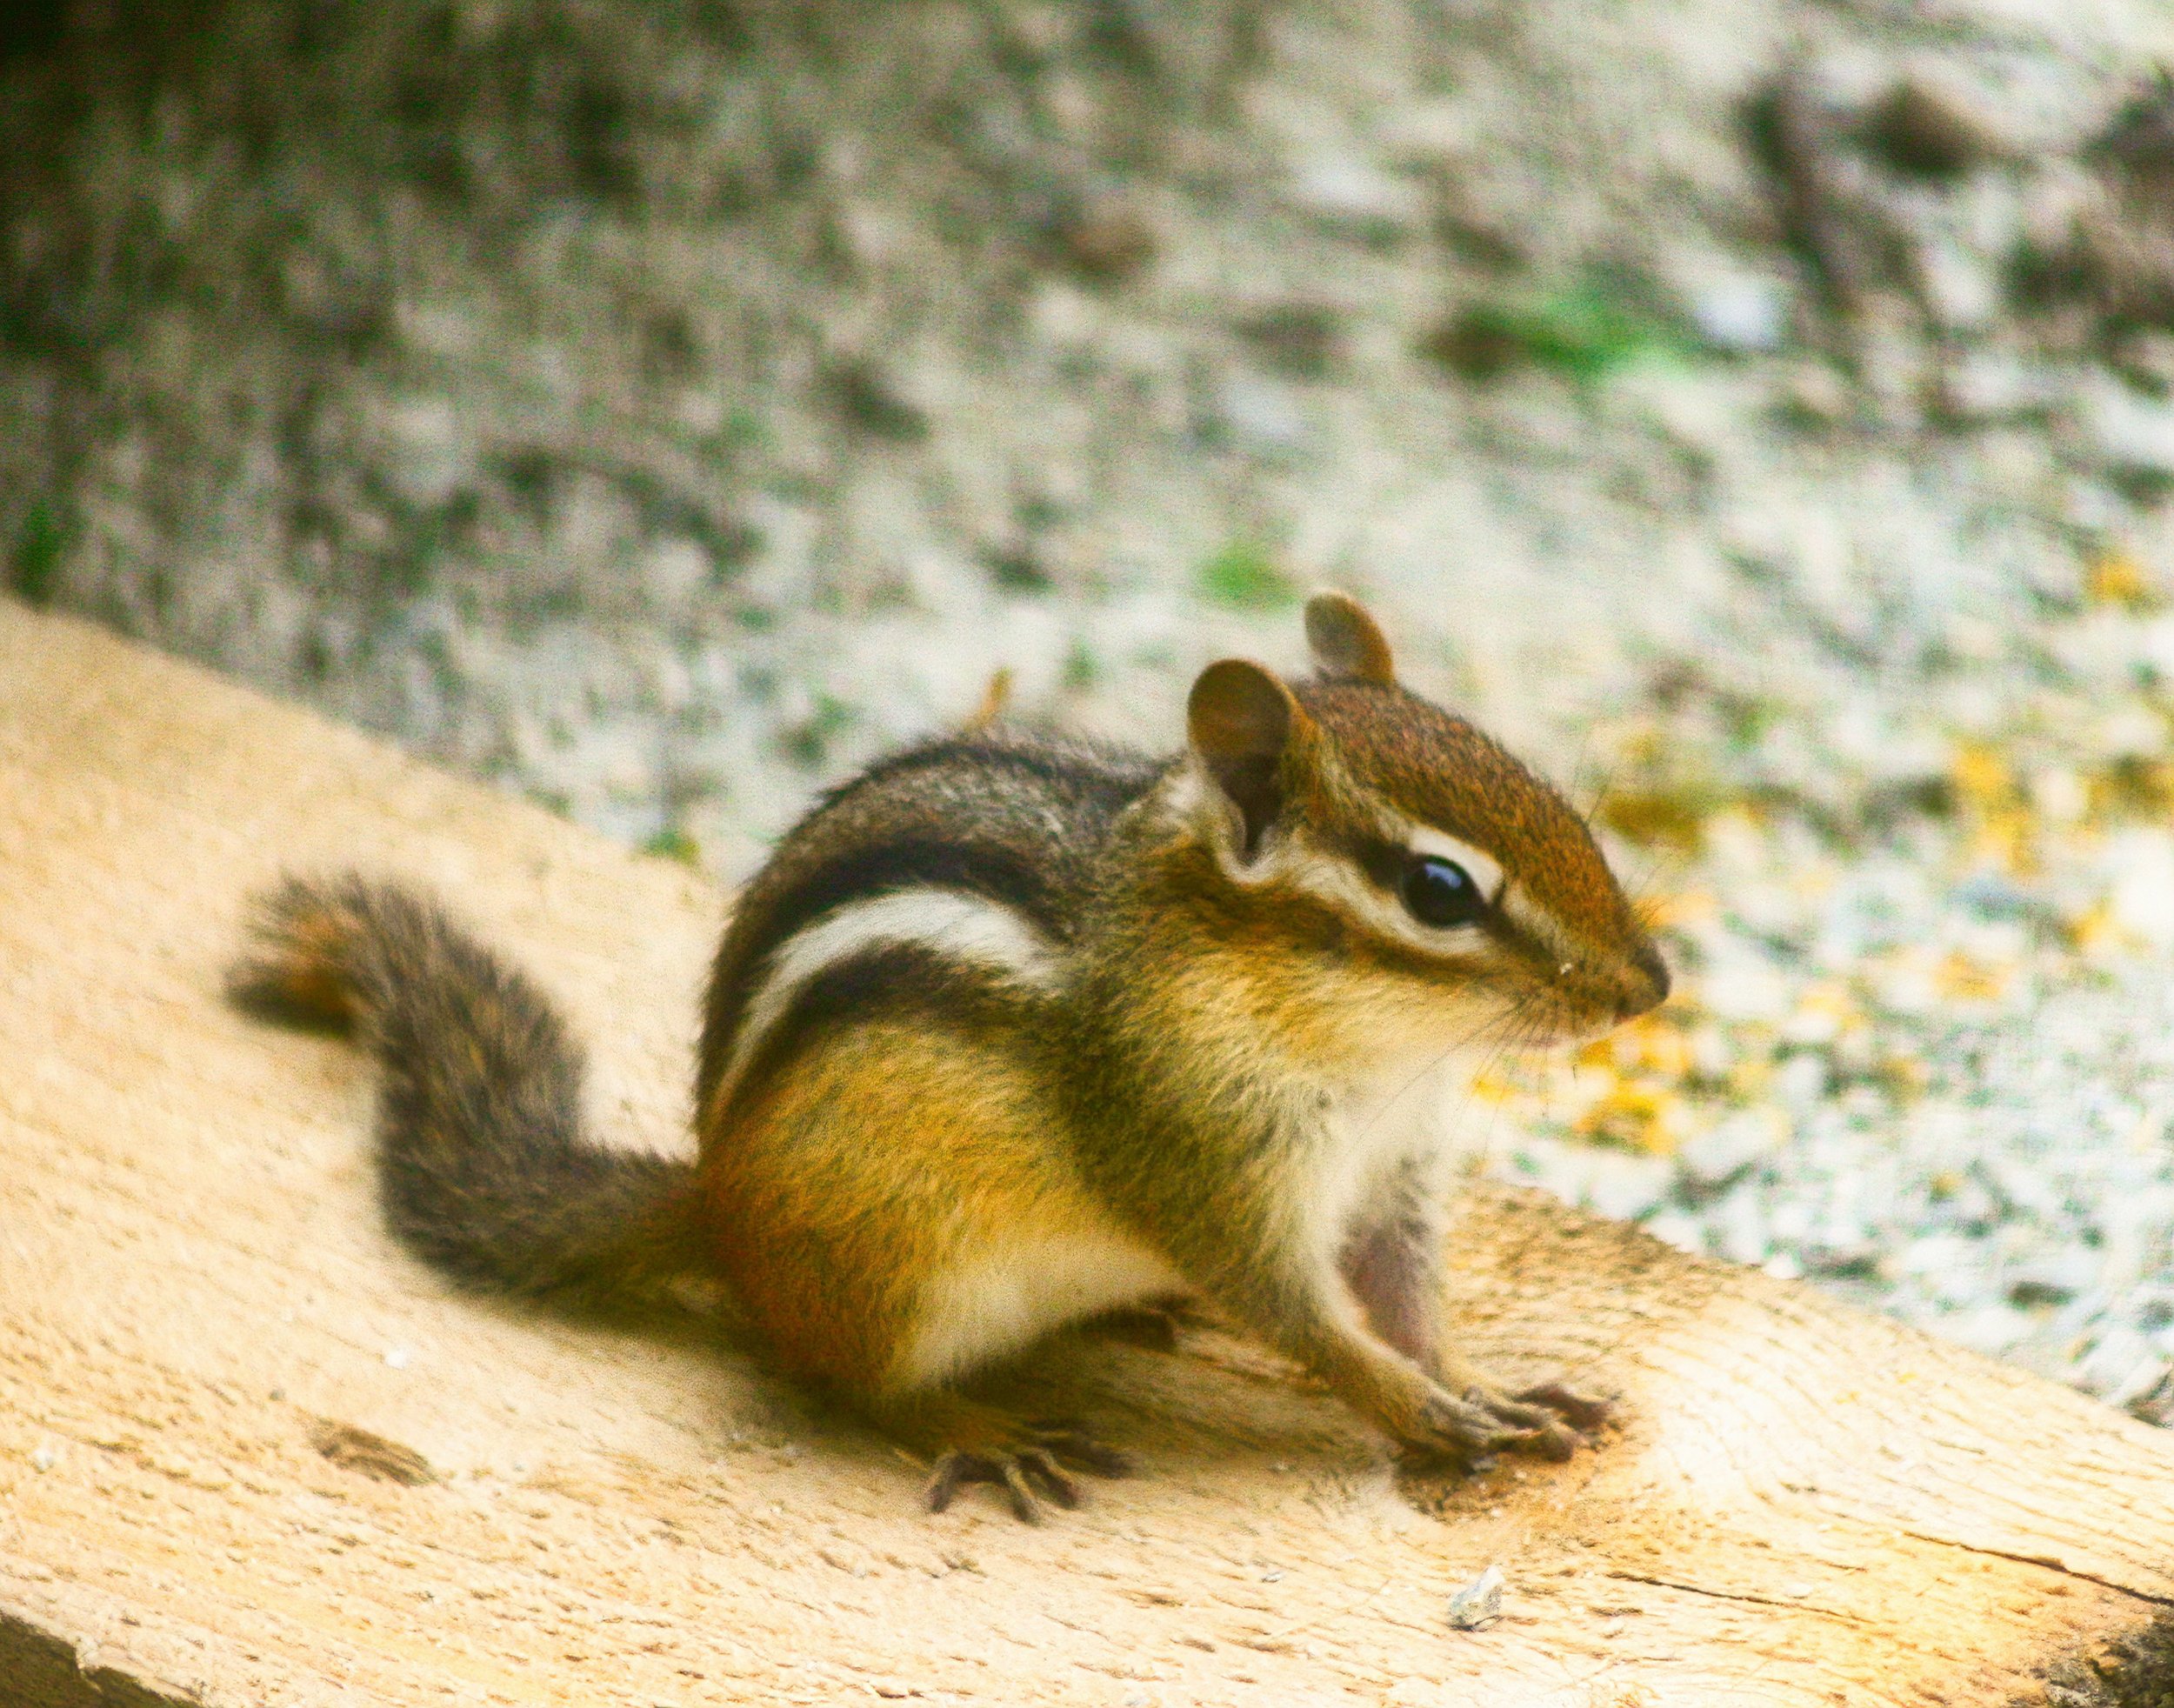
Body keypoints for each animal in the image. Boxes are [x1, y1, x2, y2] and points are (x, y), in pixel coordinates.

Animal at [230, 592, 1667, 1522]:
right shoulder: (1201, 1159)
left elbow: (1406, 1298)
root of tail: (718, 1209)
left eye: (1546, 792)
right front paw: (1422, 1411)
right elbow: (1304, 1317)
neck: (1377, 1054)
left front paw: (1485, 1384)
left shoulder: (1392, 1172)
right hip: (898, 1261)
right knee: (850, 1381)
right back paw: (983, 1429)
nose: (1649, 986)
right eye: (1439, 890)